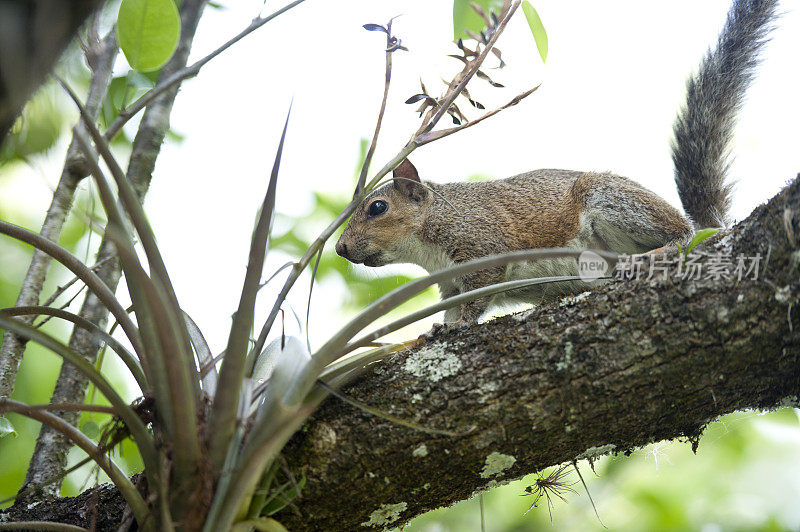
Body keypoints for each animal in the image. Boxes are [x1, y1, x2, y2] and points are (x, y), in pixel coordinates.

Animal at [334, 0, 780, 324]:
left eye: (377, 207)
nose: (339, 248)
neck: (430, 242)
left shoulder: (482, 248)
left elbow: (478, 299)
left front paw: (460, 327)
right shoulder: (449, 286)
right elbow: (451, 308)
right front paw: (435, 330)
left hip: (612, 199)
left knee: (681, 235)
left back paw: (656, 251)